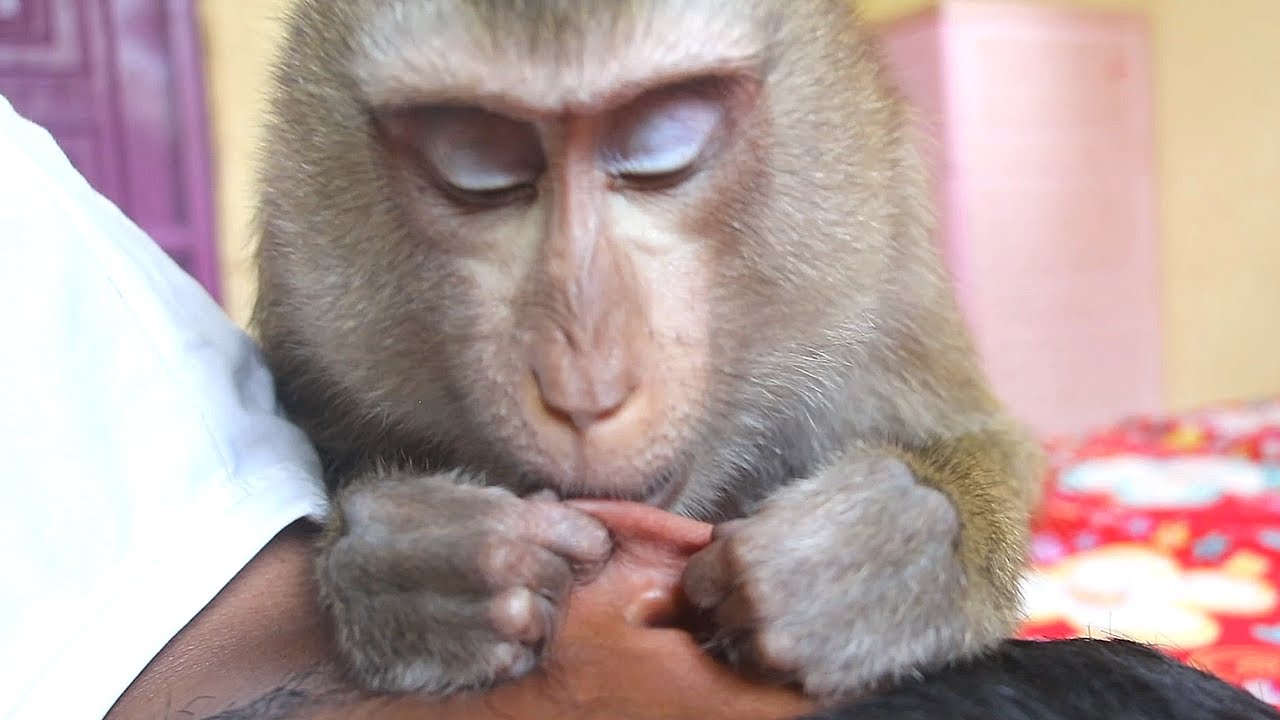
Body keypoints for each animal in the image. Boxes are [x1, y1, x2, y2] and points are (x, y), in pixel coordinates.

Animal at [251, 0, 1044, 706]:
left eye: (660, 152)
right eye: (477, 165)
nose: (584, 389)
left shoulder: (887, 263)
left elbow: (985, 440)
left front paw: (889, 552)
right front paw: (409, 565)